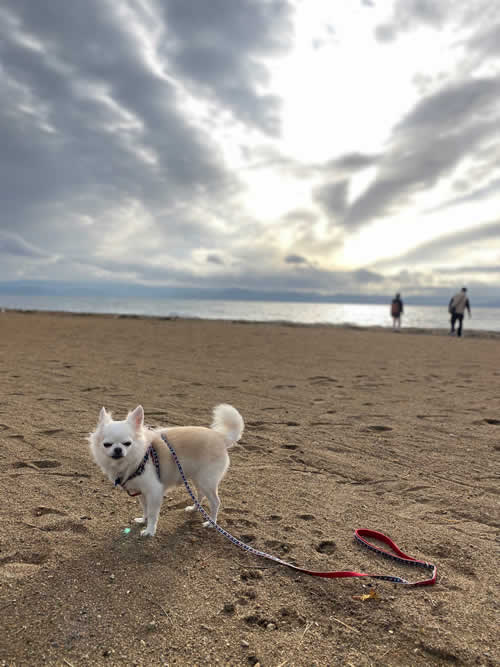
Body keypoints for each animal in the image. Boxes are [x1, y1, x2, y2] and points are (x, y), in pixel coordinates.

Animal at [90, 402, 246, 536]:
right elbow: (145, 508)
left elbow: (152, 513)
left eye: (127, 443)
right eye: (107, 444)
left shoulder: (154, 491)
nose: (117, 450)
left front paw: (150, 531)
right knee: (200, 495)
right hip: (198, 479)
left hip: (206, 481)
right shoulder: (141, 492)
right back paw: (194, 508)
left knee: (215, 502)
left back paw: (211, 522)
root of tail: (221, 437)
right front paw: (143, 520)